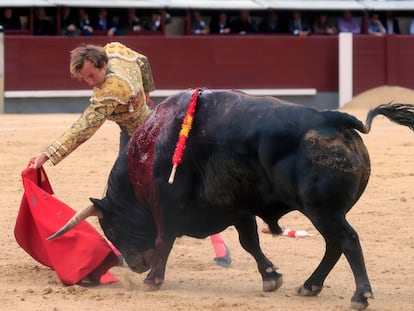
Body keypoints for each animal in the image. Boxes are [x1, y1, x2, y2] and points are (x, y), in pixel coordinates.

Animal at [48, 89, 414, 310]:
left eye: (111, 228)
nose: (137, 266)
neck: (148, 155)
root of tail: (333, 118)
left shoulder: (167, 206)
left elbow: (165, 239)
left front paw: (153, 281)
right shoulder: (236, 208)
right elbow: (250, 242)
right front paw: (271, 277)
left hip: (323, 210)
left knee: (347, 240)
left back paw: (360, 295)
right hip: (323, 212)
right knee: (334, 244)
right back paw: (310, 286)